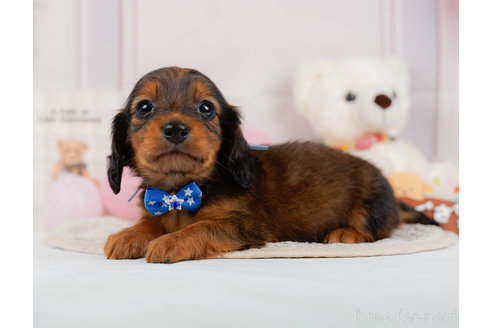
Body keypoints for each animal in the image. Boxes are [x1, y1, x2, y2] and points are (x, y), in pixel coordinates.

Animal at [103, 67, 434, 264]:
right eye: (145, 107)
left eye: (206, 108)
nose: (175, 129)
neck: (180, 190)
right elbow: (149, 222)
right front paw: (127, 236)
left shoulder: (243, 227)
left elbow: (201, 228)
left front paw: (170, 242)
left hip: (369, 203)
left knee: (379, 231)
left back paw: (345, 234)